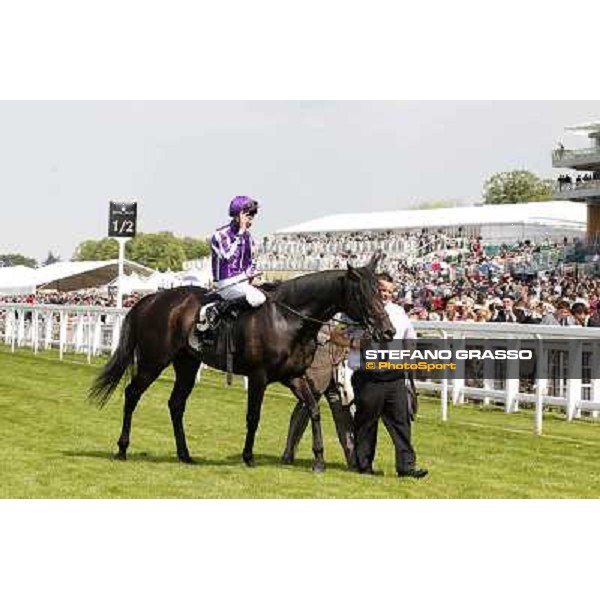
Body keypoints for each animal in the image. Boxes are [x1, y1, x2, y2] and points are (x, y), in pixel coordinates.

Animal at [86, 251, 392, 472]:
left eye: (380, 291)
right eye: (363, 293)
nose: (387, 330)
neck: (287, 319)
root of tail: (150, 299)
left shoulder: (293, 376)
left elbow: (313, 410)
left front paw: (318, 459)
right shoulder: (258, 377)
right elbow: (253, 416)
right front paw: (248, 456)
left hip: (186, 364)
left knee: (176, 404)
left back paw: (185, 454)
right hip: (154, 360)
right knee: (132, 394)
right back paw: (122, 448)